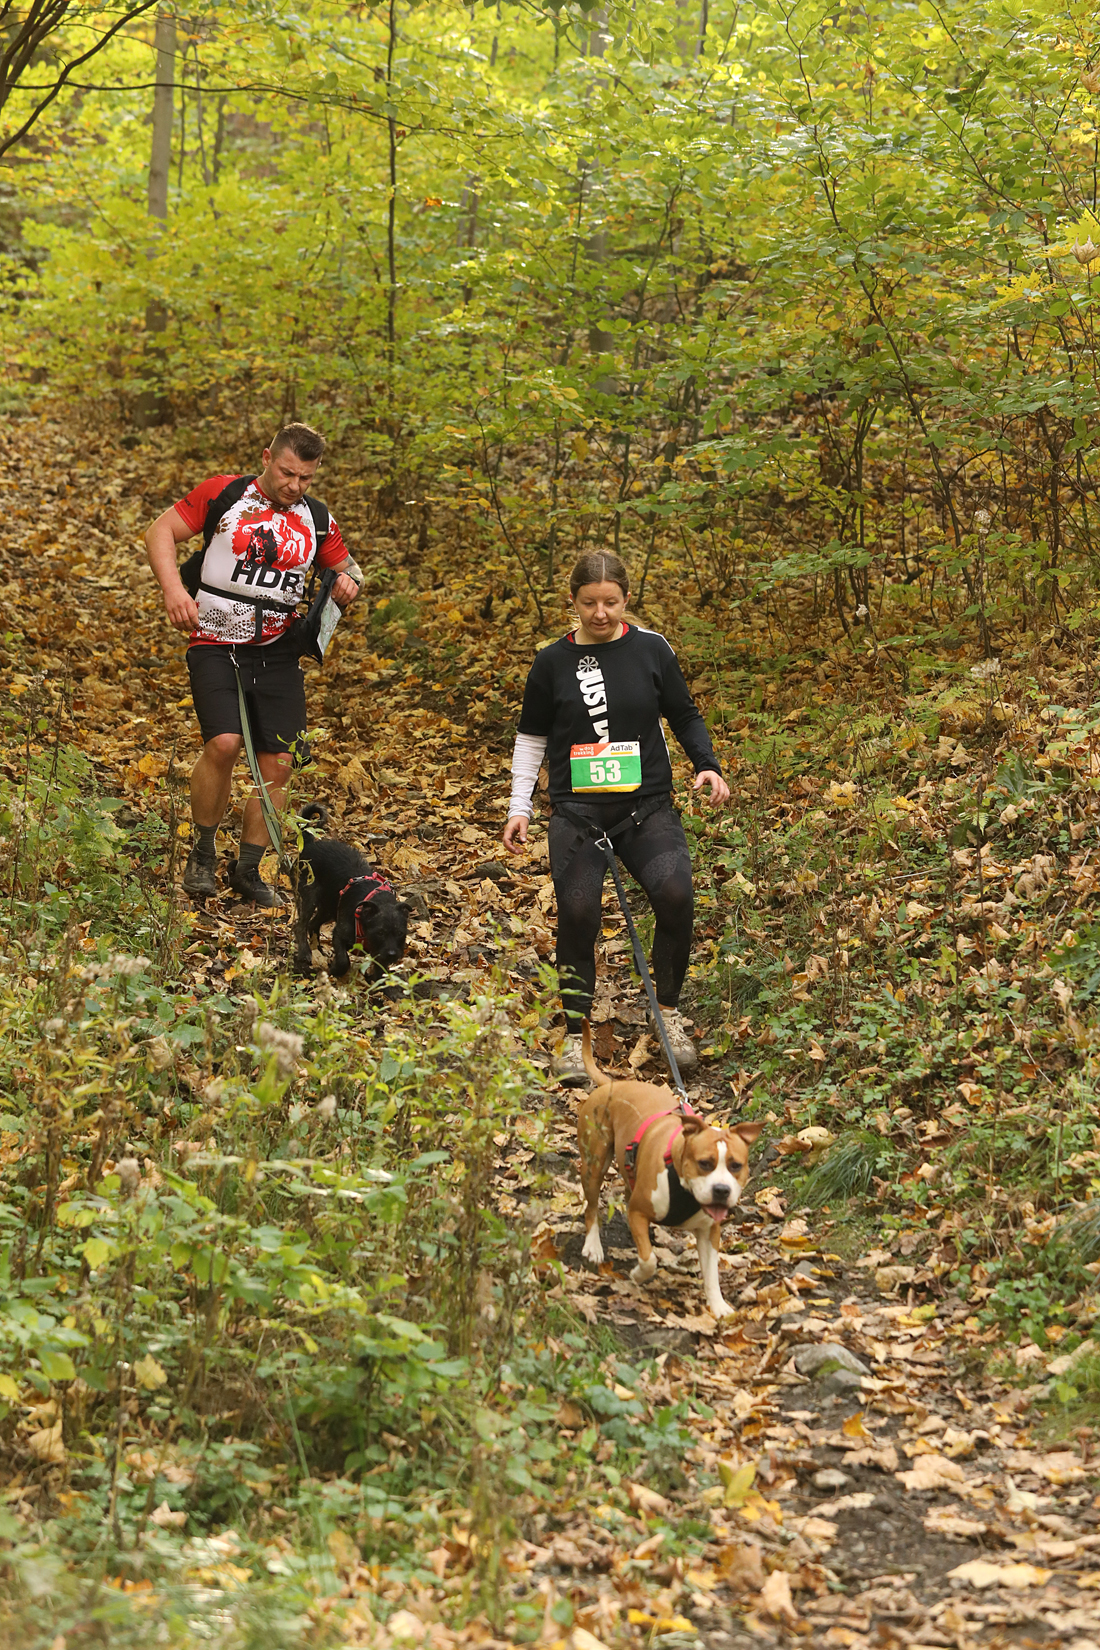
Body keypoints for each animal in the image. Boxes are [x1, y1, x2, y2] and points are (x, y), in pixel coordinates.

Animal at [293, 804, 410, 978]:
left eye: (401, 933)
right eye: (380, 933)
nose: (392, 955)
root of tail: (309, 844)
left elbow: (379, 971)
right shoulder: (339, 934)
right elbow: (343, 960)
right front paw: (335, 970)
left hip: (328, 906)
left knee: (313, 924)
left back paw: (318, 951)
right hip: (309, 897)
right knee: (300, 926)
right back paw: (305, 952)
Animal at [575, 1022, 761, 1319]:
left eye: (736, 1166)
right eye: (704, 1163)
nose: (721, 1190)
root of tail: (613, 1083)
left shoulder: (709, 1232)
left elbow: (711, 1274)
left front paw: (718, 1306)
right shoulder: (640, 1211)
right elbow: (649, 1259)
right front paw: (638, 1275)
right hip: (595, 1164)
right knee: (592, 1206)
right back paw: (593, 1246)